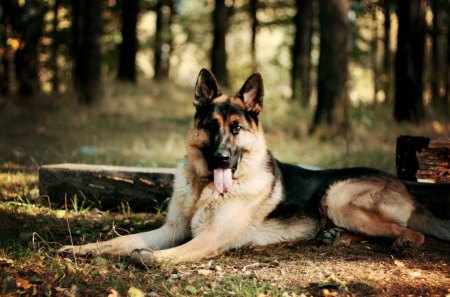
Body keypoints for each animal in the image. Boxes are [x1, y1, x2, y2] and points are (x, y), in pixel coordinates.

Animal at [59, 69, 450, 262]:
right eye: (211, 126)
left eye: (236, 129)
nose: (221, 158)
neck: (202, 188)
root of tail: (409, 191)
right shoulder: (171, 229)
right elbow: (122, 240)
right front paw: (82, 250)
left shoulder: (207, 239)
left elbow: (155, 256)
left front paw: (143, 257)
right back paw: (335, 236)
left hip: (337, 197)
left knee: (410, 232)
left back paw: (402, 243)